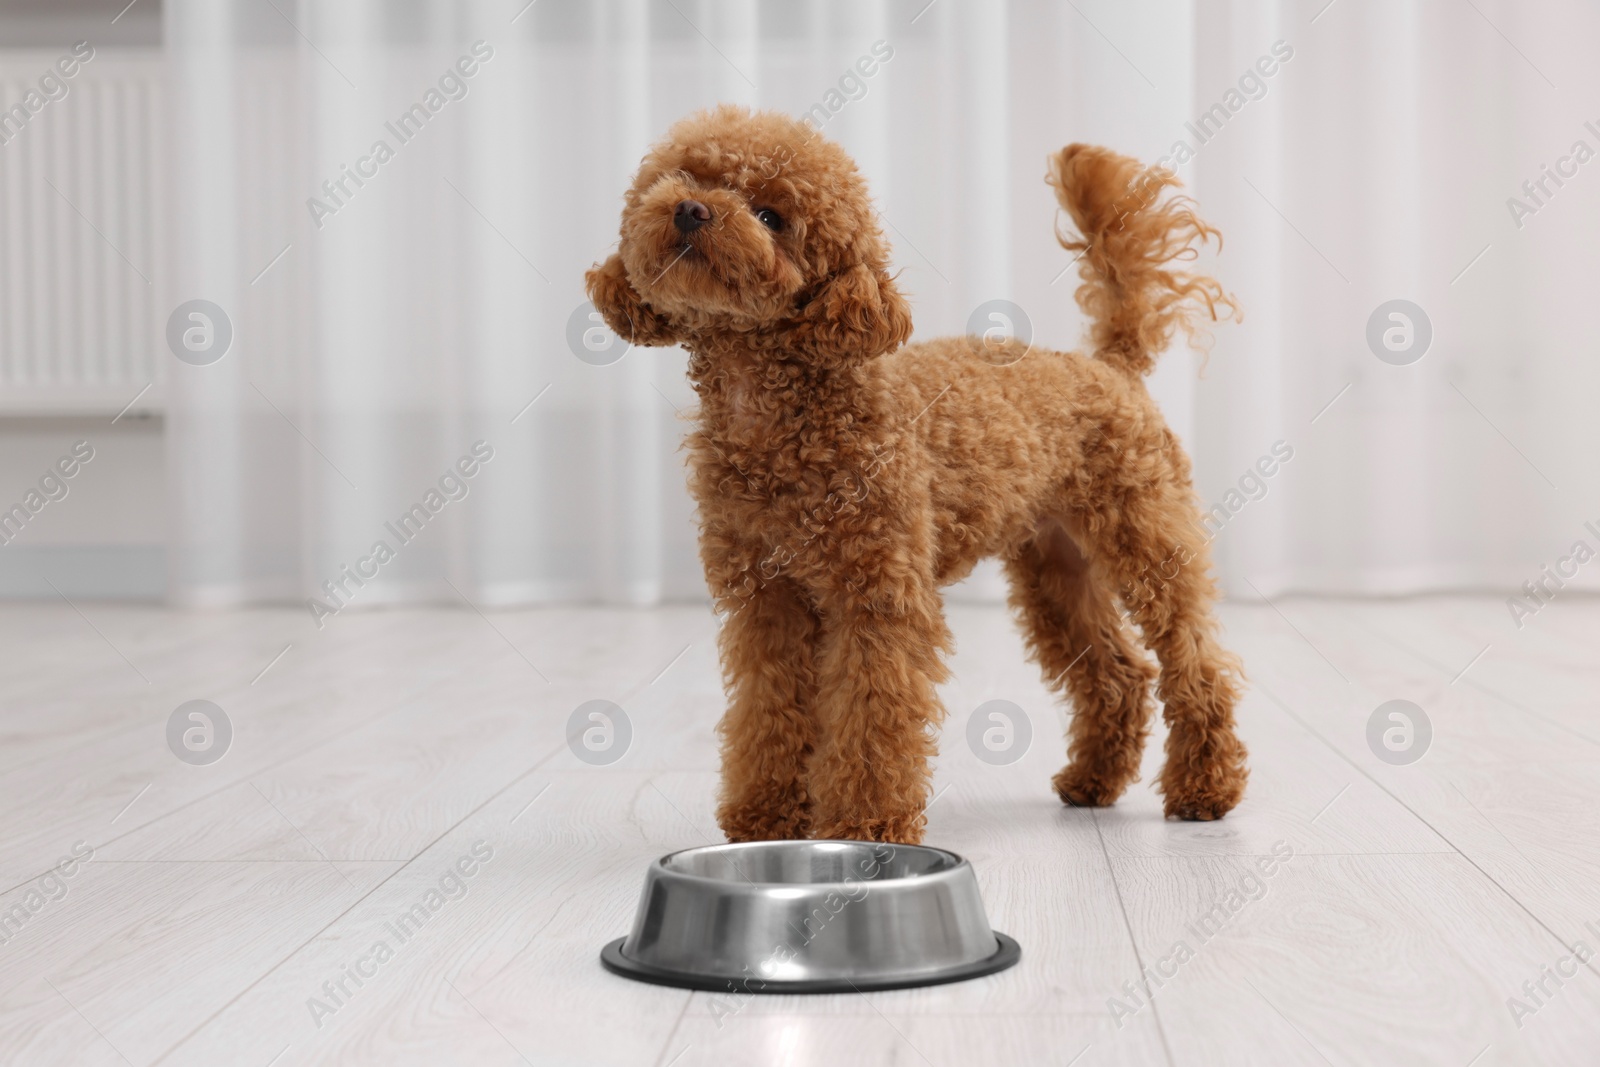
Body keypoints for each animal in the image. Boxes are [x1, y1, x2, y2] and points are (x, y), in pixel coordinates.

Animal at [588, 106, 1248, 844]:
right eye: (684, 175)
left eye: (770, 215)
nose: (691, 210)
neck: (779, 415)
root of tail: (1111, 365)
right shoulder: (766, 599)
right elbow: (768, 709)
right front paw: (767, 817)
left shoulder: (879, 594)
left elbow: (873, 716)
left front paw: (863, 827)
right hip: (1053, 564)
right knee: (1120, 669)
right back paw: (1094, 780)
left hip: (1146, 534)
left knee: (1195, 657)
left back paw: (1206, 786)